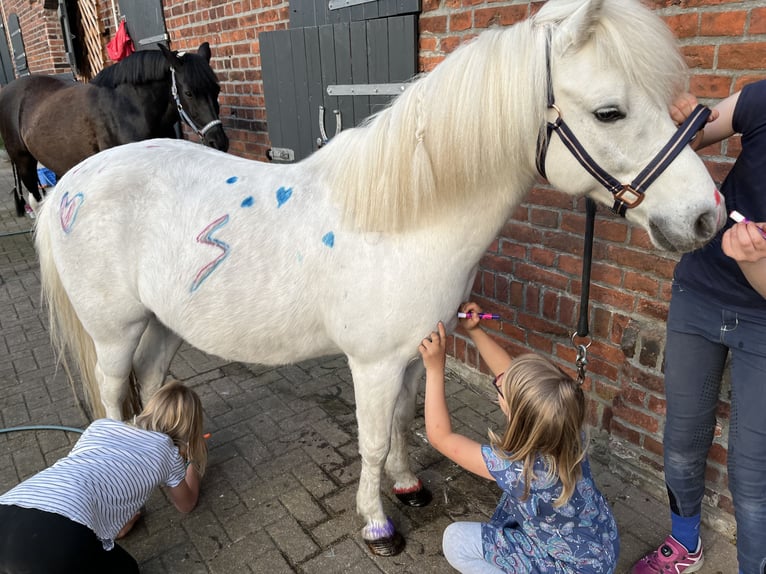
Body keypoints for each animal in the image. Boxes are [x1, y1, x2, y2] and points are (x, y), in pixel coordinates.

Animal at [34, 0, 725, 556]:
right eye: (610, 112)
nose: (705, 216)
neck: (404, 222)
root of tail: (67, 186)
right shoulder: (372, 364)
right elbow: (369, 439)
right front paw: (377, 524)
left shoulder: (415, 352)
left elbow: (402, 419)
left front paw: (407, 483)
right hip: (115, 332)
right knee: (113, 397)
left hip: (164, 322)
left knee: (152, 382)